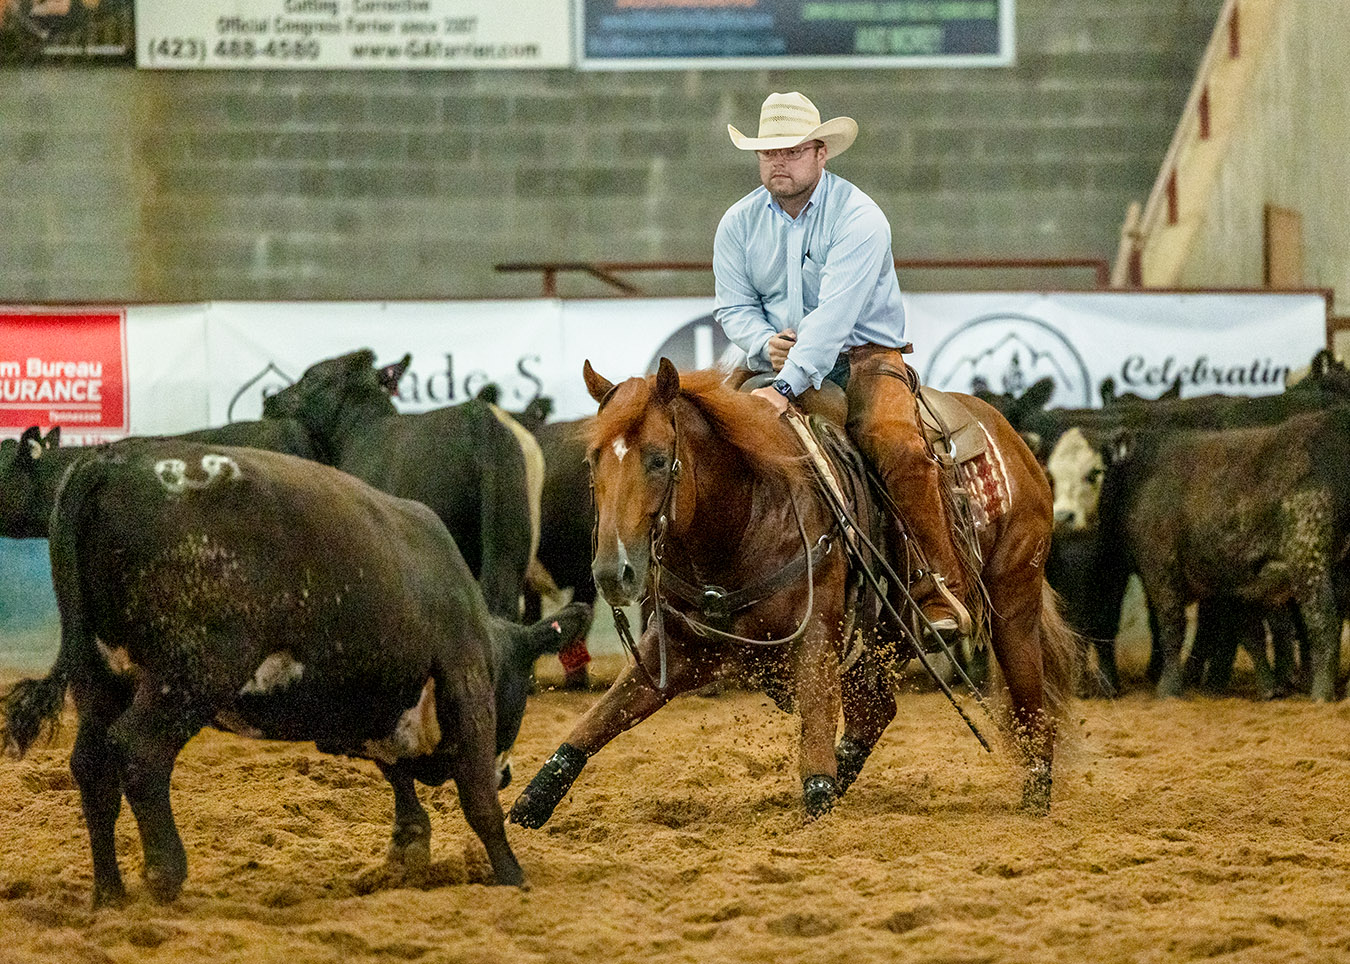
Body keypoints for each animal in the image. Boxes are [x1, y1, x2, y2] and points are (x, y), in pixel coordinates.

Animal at [1, 440, 591, 907]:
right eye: (520, 690)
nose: (509, 773)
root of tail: (109, 462)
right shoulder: (464, 681)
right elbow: (478, 800)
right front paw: (512, 876)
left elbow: (395, 770)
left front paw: (408, 848)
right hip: (192, 671)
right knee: (139, 749)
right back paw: (165, 873)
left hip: (99, 676)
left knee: (92, 764)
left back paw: (110, 894)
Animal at [507, 356, 1074, 820]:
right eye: (593, 459)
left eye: (657, 458)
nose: (612, 572)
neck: (743, 519)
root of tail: (1010, 437)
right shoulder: (681, 650)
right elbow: (594, 723)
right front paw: (530, 802)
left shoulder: (816, 640)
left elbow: (816, 740)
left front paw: (818, 805)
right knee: (874, 713)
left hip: (1013, 605)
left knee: (1032, 710)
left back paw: (1035, 799)